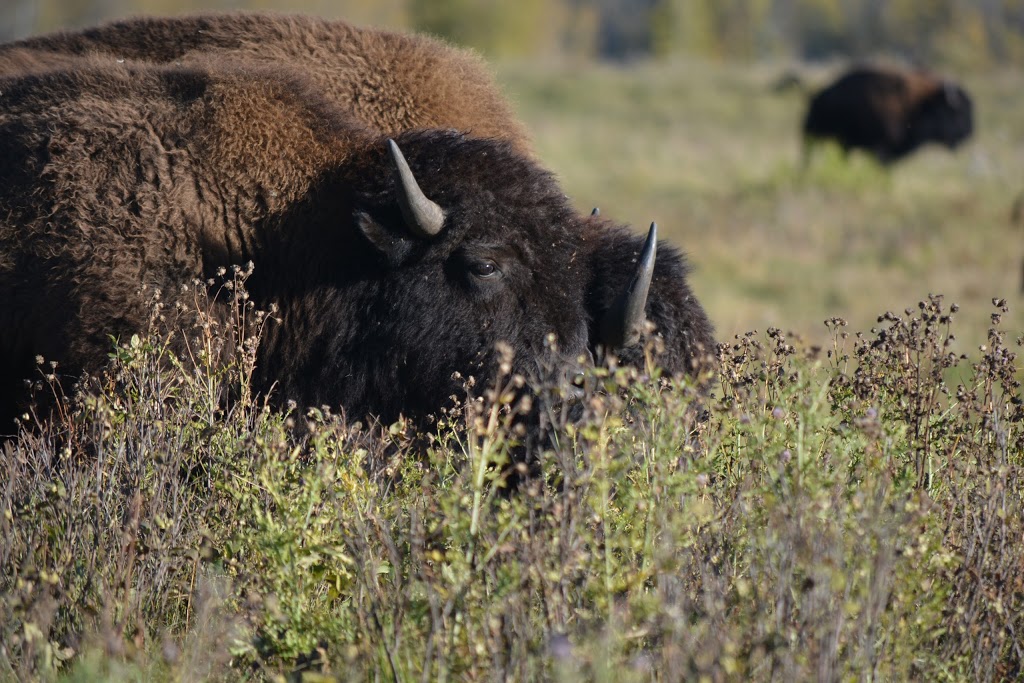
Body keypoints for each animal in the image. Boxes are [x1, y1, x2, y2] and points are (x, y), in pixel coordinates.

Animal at [798, 64, 974, 165]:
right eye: (958, 113)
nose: (969, 132)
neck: (920, 105)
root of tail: (815, 98)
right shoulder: (882, 151)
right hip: (810, 136)